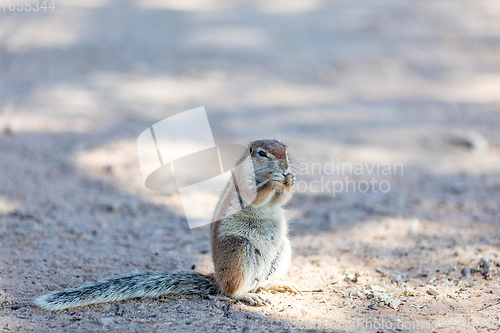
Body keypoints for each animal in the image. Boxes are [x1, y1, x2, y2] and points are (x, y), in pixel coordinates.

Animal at [37, 138, 300, 308]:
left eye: (286, 150)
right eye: (262, 153)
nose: (285, 165)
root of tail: (215, 278)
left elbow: (282, 198)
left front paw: (290, 180)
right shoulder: (242, 183)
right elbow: (256, 196)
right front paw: (274, 181)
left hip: (282, 251)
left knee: (260, 283)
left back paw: (278, 286)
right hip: (238, 249)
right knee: (230, 291)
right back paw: (246, 297)